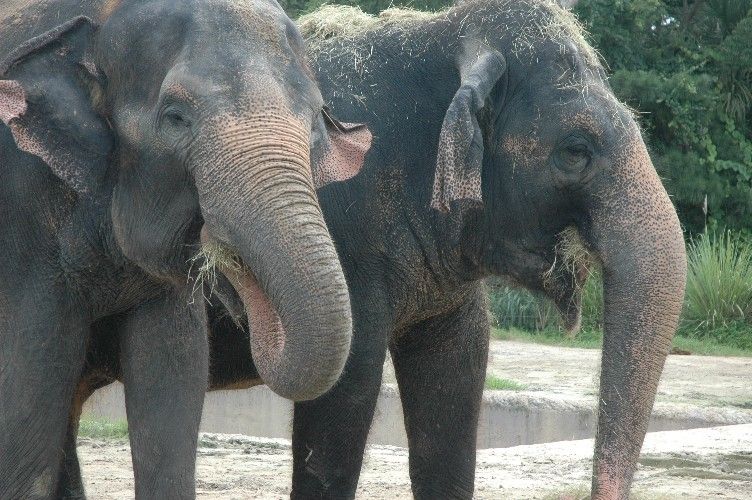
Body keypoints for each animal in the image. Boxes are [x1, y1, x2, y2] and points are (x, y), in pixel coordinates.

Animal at [1, 0, 372, 496]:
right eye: (176, 117)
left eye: (317, 121)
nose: (218, 241)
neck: (101, 18)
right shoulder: (23, 223)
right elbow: (27, 404)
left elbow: (173, 382)